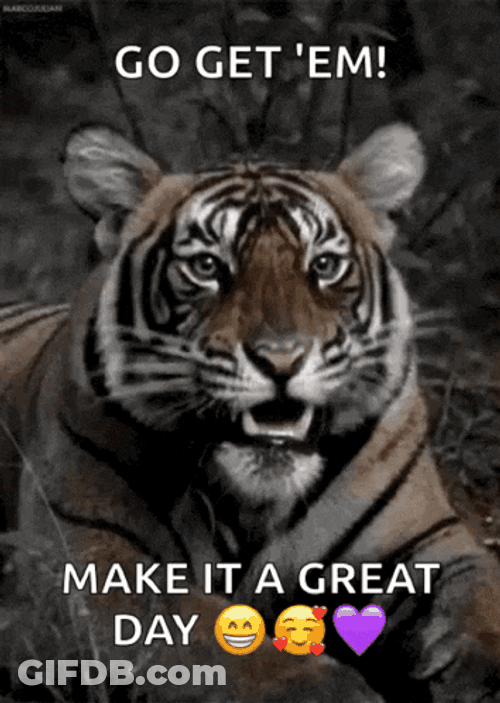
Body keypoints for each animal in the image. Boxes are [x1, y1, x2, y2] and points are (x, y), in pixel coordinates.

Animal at [1, 122, 500, 703]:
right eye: (207, 266)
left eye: (324, 266)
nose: (281, 358)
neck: (252, 505)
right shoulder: (89, 558)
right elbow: (208, 638)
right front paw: (332, 690)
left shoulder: (427, 542)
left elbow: (481, 600)